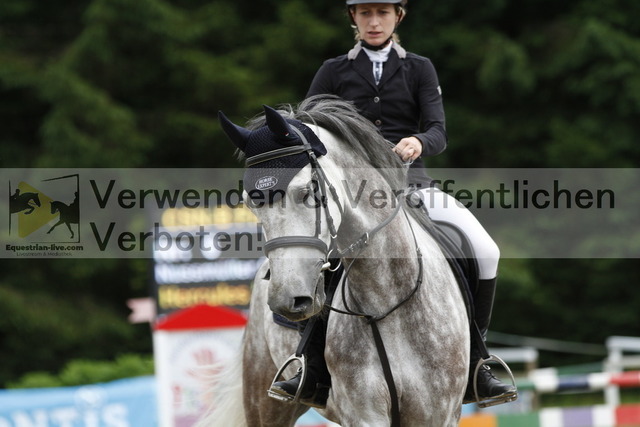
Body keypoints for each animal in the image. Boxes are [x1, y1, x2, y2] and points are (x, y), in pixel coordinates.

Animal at [198, 96, 469, 426]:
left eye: (308, 192)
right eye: (252, 203)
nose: (287, 300)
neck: (385, 301)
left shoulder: (437, 414)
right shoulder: (364, 414)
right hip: (264, 399)